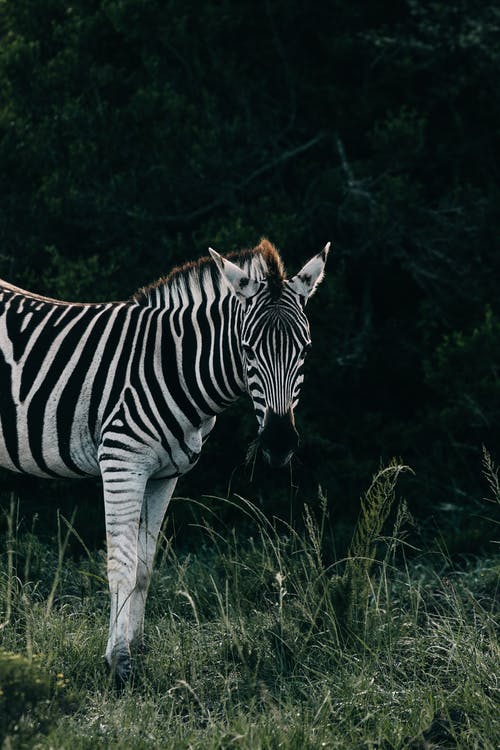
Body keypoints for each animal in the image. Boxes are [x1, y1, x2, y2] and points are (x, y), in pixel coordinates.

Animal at [0, 238, 328, 684]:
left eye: (305, 350)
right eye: (247, 349)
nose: (279, 443)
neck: (174, 367)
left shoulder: (163, 476)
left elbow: (144, 567)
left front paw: (136, 648)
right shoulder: (122, 461)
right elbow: (120, 564)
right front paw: (119, 663)